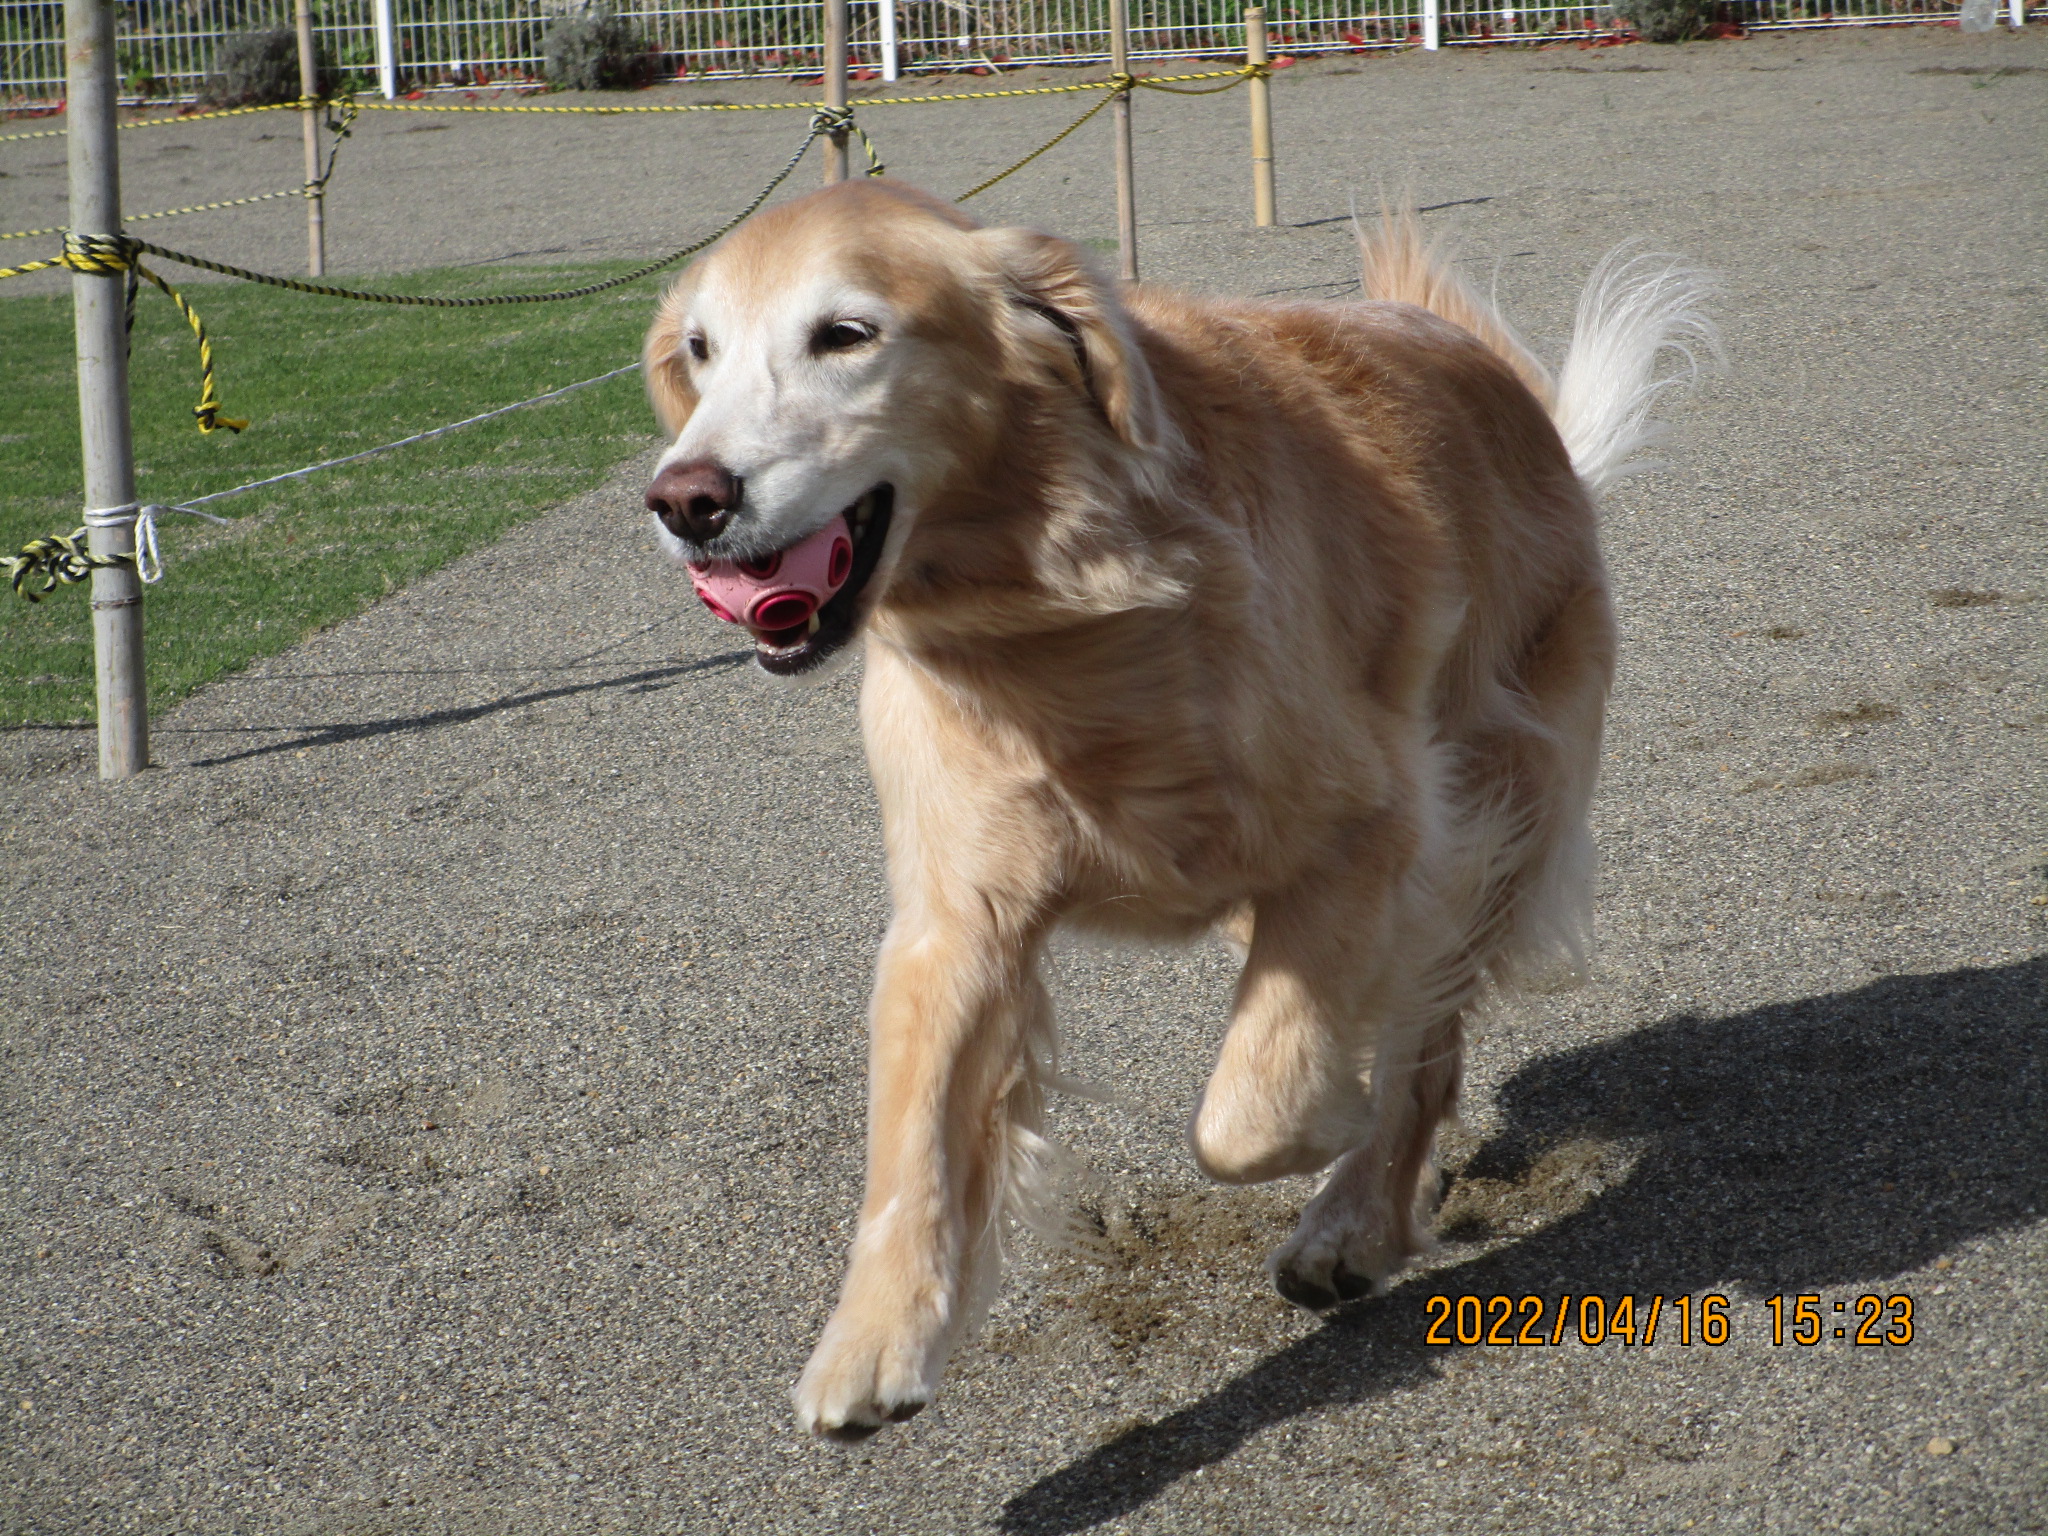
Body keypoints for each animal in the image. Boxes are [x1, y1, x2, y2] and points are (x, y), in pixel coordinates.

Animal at [634, 183, 1712, 1441]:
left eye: (844, 335)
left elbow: (1246, 1115)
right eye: (698, 353)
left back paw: (1354, 1216)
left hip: (1486, 816)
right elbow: (908, 1142)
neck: (1059, 626)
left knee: (1421, 1043)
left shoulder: (1372, 830)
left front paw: (1338, 1130)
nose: (686, 500)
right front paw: (872, 1340)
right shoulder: (955, 921)